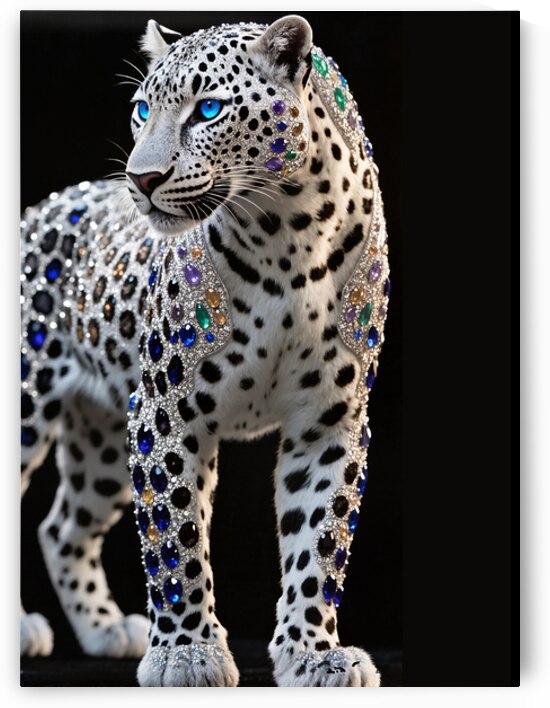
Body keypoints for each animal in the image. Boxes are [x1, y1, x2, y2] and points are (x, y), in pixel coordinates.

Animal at [20, 15, 390, 687]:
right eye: (142, 110)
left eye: (208, 109)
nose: (141, 180)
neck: (288, 240)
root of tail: (35, 211)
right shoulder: (165, 414)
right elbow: (177, 533)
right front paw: (187, 654)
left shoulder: (331, 419)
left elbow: (318, 541)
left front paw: (315, 654)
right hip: (32, 407)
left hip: (104, 437)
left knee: (62, 527)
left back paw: (105, 629)